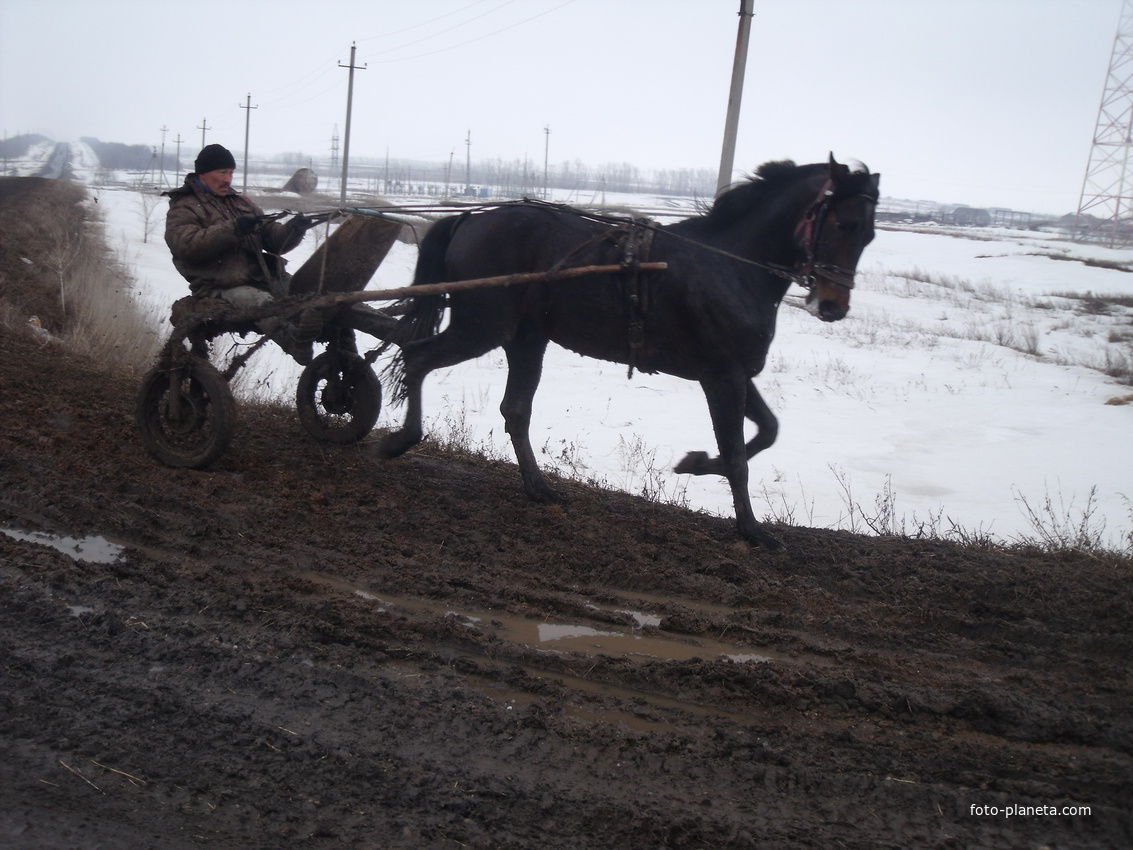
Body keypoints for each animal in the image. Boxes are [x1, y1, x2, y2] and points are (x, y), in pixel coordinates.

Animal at [378, 155, 874, 553]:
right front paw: (751, 529)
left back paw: (539, 487)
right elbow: (736, 454)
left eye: (869, 232)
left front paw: (697, 464)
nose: (833, 305)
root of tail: (471, 219)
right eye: (842, 223)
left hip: (526, 338)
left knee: (515, 409)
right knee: (419, 360)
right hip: (482, 327)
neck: (729, 264)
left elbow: (767, 431)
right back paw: (402, 439)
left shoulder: (735, 372)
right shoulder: (721, 375)